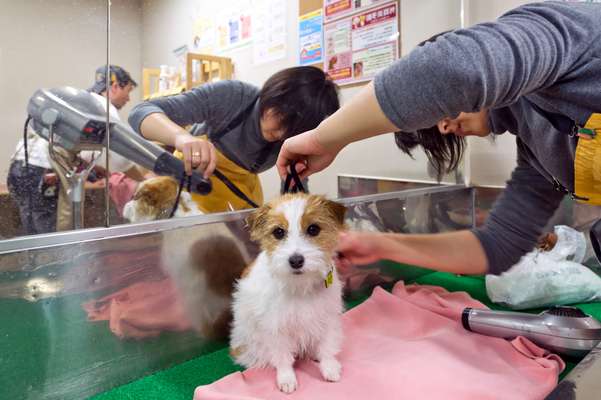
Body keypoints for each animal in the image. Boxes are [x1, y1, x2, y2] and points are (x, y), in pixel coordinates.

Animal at [230, 194, 344, 394]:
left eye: (313, 229)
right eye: (278, 232)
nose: (296, 260)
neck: (300, 286)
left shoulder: (327, 318)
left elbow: (327, 346)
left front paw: (329, 367)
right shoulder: (276, 327)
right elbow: (282, 357)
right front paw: (286, 378)